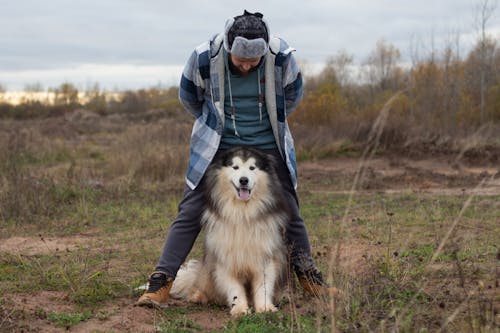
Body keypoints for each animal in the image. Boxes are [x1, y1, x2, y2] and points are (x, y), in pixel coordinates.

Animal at [171, 147, 292, 316]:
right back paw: (198, 296)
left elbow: (263, 285)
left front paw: (265, 308)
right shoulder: (225, 255)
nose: (243, 180)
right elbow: (234, 287)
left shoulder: (265, 254)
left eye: (252, 168)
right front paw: (240, 309)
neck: (243, 212)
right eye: (235, 167)